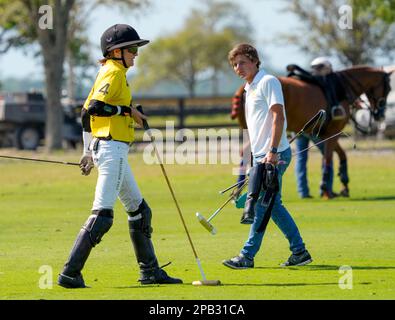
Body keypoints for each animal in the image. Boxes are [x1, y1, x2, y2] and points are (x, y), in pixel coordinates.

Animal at [232, 65, 392, 198]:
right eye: (388, 88)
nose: (380, 115)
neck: (342, 88)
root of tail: (243, 88)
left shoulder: (325, 134)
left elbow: (341, 155)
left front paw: (344, 184)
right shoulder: (334, 132)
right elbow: (328, 159)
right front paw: (325, 189)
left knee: (244, 152)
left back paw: (238, 190)